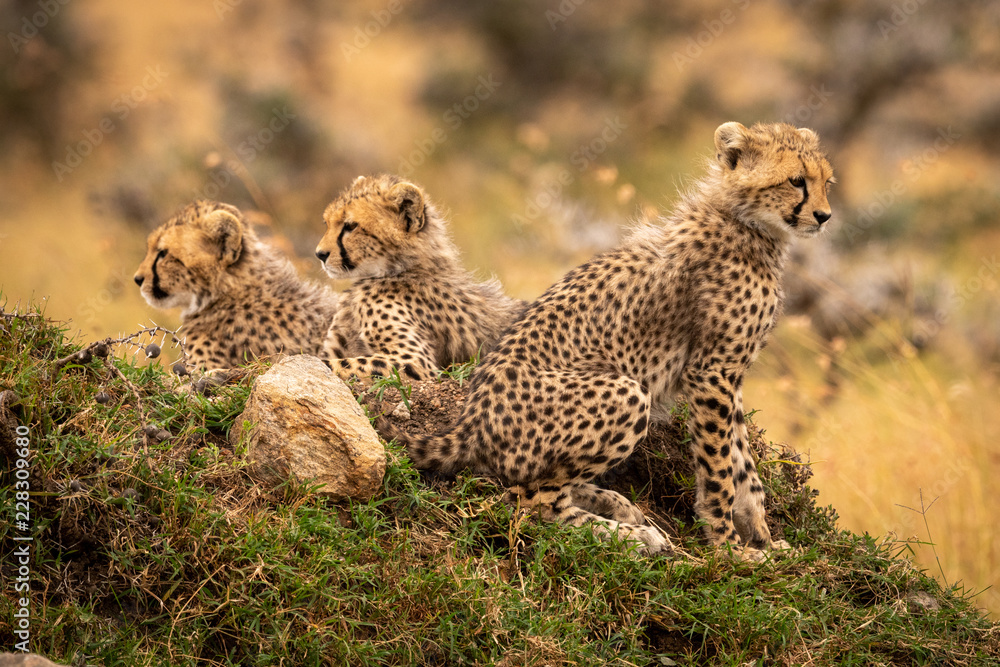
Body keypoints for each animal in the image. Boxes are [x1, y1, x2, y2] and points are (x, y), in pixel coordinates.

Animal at [384, 122, 834, 558]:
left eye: (827, 181)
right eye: (796, 180)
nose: (825, 216)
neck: (748, 223)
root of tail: (469, 425)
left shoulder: (729, 375)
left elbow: (744, 465)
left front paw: (763, 539)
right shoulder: (711, 373)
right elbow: (720, 468)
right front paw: (729, 548)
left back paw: (616, 506)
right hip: (626, 392)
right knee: (535, 502)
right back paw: (634, 538)